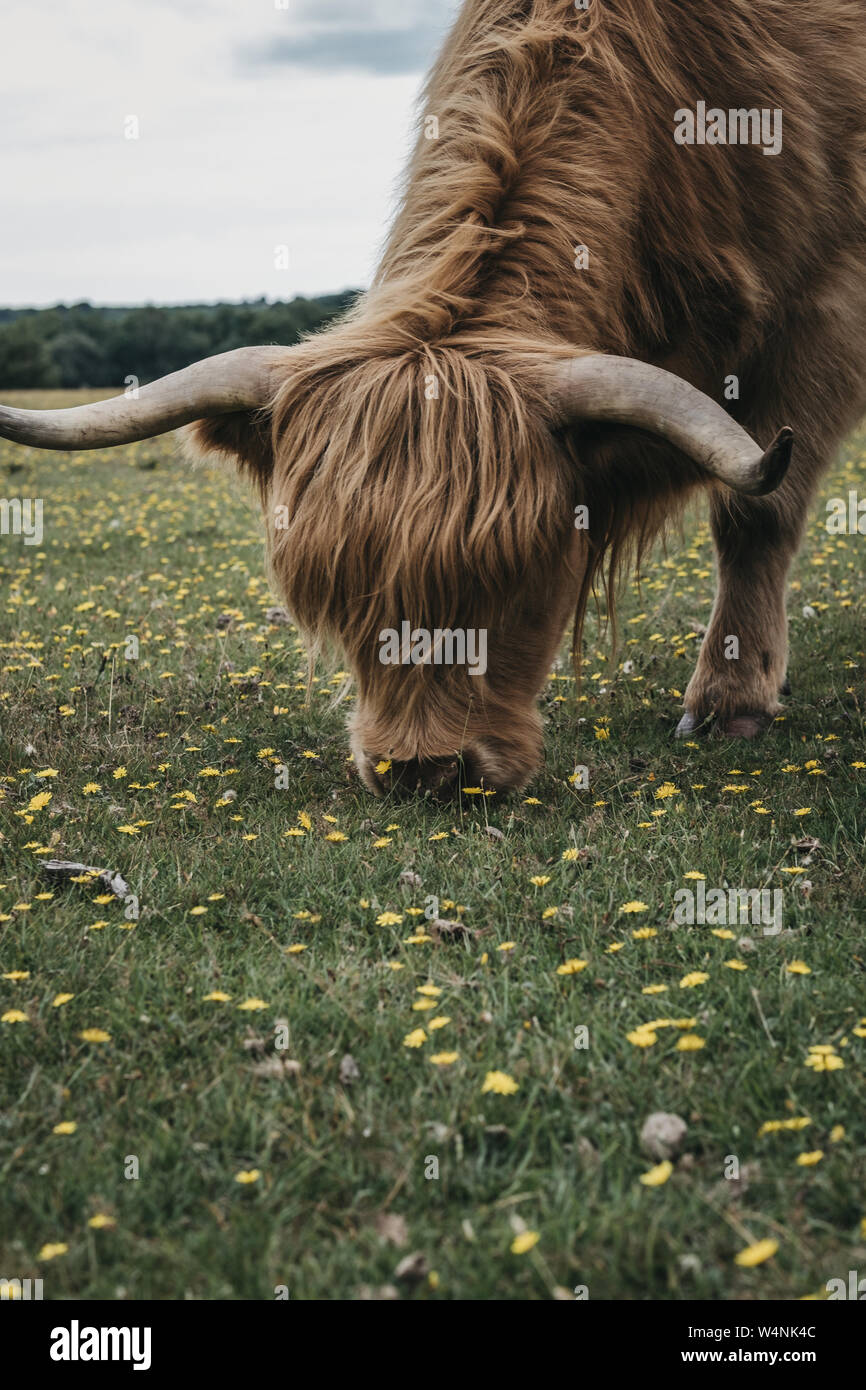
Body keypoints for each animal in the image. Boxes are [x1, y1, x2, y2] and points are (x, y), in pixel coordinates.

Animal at [2, 0, 865, 797]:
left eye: (522, 582)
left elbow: (756, 513)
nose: (422, 770)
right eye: (332, 593)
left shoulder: (826, 311)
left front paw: (731, 704)